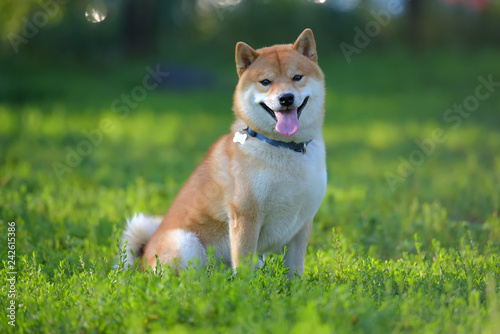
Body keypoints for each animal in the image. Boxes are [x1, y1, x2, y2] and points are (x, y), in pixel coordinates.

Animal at [119, 28, 326, 276]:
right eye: (265, 82)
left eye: (297, 77)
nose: (285, 98)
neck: (283, 146)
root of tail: (140, 263)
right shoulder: (245, 216)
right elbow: (245, 265)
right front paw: (248, 286)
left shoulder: (302, 222)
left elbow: (294, 271)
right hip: (187, 244)